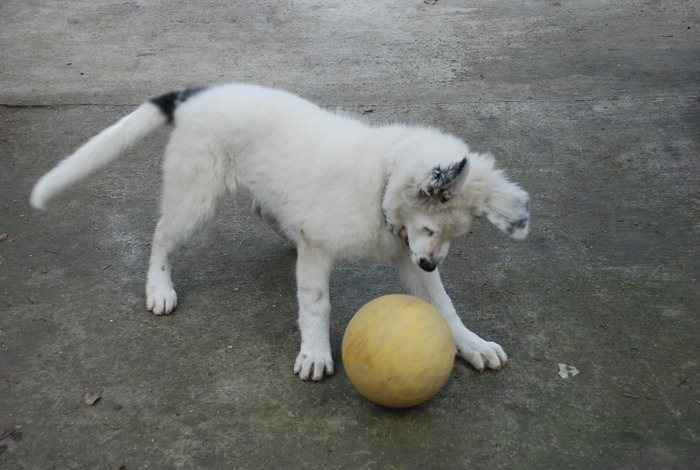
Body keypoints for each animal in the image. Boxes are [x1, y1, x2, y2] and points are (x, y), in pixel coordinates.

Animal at [30, 82, 528, 380]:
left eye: (452, 236)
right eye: (428, 226)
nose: (428, 262)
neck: (378, 182)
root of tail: (197, 94)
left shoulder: (404, 254)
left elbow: (443, 306)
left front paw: (471, 344)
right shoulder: (326, 248)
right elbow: (316, 304)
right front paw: (315, 354)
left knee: (261, 209)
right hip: (196, 196)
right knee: (161, 233)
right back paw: (159, 288)